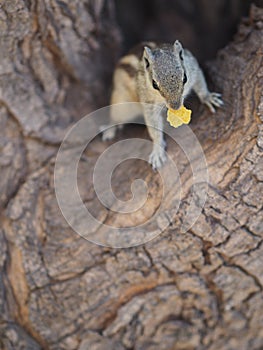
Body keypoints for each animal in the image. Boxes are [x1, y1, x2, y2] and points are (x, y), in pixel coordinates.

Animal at [102, 41, 224, 170]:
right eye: (154, 84)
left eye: (185, 78)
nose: (175, 107)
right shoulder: (149, 104)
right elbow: (153, 127)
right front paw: (157, 150)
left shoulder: (193, 67)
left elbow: (200, 83)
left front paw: (208, 97)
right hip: (121, 105)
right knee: (115, 117)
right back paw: (110, 129)